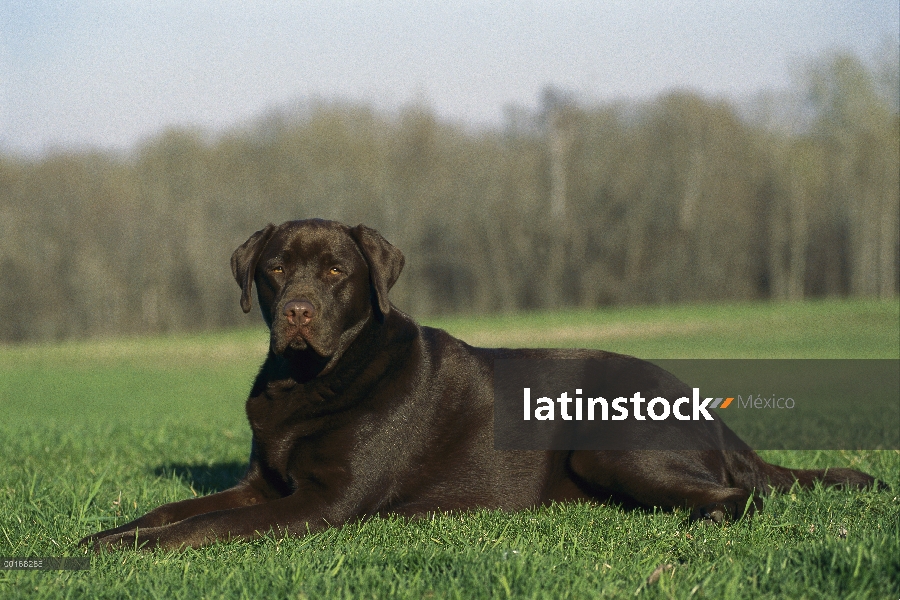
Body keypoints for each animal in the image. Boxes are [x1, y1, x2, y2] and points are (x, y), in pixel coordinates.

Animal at [79, 218, 880, 552]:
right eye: (275, 268)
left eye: (336, 270)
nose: (299, 310)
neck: (309, 381)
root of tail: (709, 409)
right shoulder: (262, 484)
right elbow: (172, 509)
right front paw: (104, 538)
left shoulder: (324, 503)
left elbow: (206, 525)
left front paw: (138, 552)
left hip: (610, 447)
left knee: (741, 496)